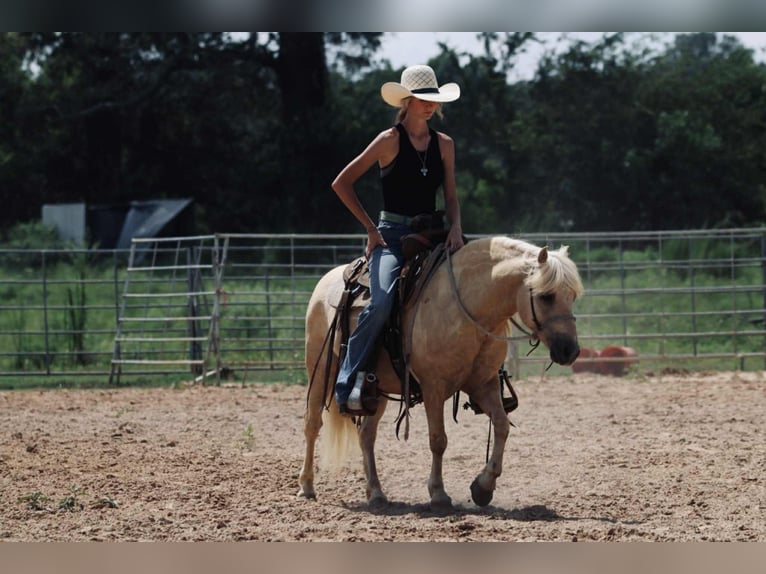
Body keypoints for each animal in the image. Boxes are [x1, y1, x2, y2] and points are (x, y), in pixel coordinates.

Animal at [297, 236, 584, 511]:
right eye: (547, 296)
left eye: (572, 296)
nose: (570, 350)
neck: (468, 307)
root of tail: (328, 279)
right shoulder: (433, 387)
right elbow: (438, 440)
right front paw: (438, 494)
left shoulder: (484, 383)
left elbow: (502, 426)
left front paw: (483, 487)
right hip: (319, 370)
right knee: (312, 425)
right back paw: (307, 487)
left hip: (374, 390)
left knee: (366, 434)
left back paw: (376, 493)